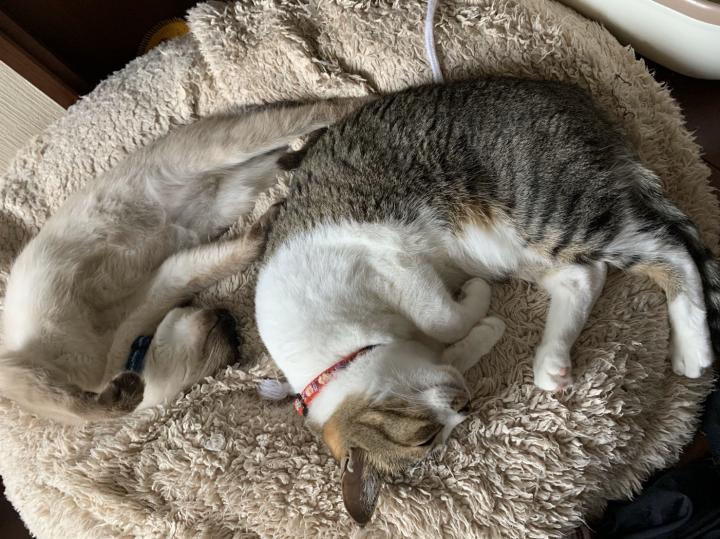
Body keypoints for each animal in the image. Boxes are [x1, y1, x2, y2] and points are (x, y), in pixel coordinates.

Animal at [0, 97, 369, 424]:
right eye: (222, 363)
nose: (230, 322)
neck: (119, 354)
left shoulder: (23, 368)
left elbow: (83, 407)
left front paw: (122, 393)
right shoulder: (166, 279)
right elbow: (240, 250)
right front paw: (269, 220)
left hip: (228, 149)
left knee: (321, 110)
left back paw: (370, 97)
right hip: (241, 191)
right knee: (290, 155)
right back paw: (297, 158)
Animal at [254, 79, 719, 524]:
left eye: (425, 437)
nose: (465, 404)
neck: (341, 351)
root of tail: (582, 104)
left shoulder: (392, 255)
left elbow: (442, 318)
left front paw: (474, 298)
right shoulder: (432, 349)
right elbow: (453, 343)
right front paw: (485, 328)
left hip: (549, 211)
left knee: (670, 249)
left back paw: (691, 345)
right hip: (519, 247)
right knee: (585, 276)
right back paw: (552, 362)